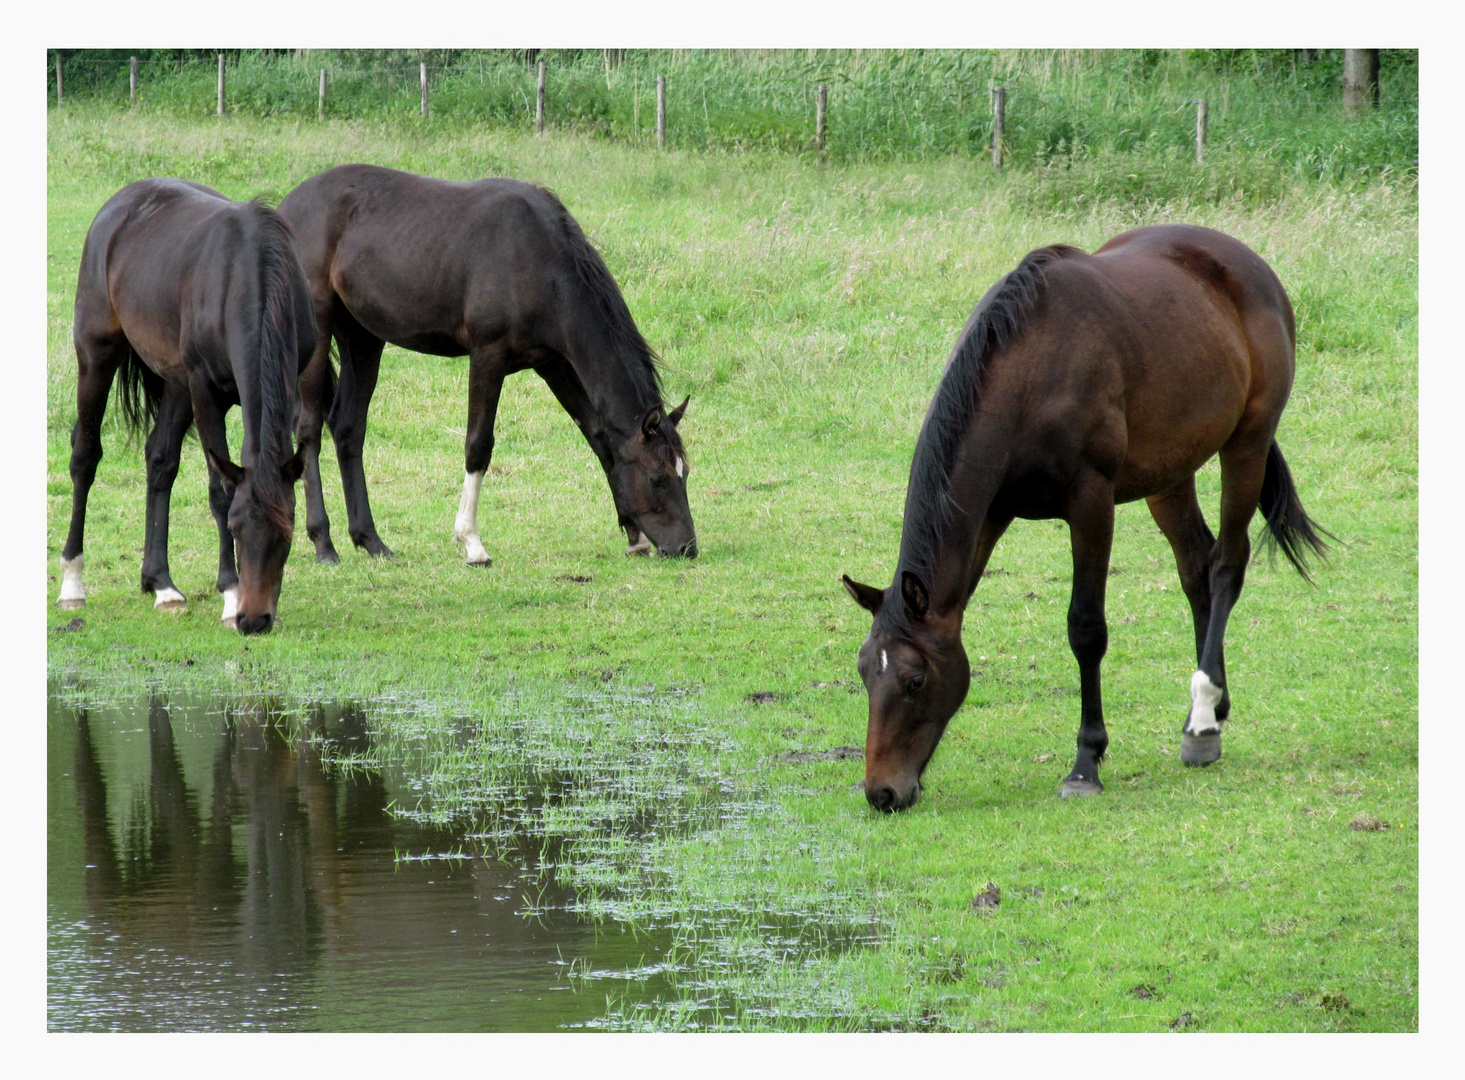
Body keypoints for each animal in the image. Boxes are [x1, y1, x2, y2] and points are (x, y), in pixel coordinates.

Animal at [58, 177, 316, 633]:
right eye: (235, 527)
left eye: (286, 533)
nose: (255, 620)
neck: (248, 275)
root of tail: (119, 205)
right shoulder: (205, 391)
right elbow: (220, 491)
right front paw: (229, 595)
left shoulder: (285, 388)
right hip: (97, 354)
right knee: (85, 457)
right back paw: (72, 584)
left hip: (175, 382)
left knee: (159, 460)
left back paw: (161, 584)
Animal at [276, 164, 700, 568]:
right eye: (658, 477)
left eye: (685, 473)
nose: (686, 547)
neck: (538, 259)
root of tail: (288, 206)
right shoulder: (487, 357)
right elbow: (478, 445)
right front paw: (472, 544)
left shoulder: (555, 364)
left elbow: (598, 438)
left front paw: (635, 538)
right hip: (320, 327)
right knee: (310, 429)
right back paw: (323, 543)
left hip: (362, 337)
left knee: (348, 427)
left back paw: (372, 541)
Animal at [837, 222, 1330, 808]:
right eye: (865, 673)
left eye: (915, 681)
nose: (882, 792)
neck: (1029, 371)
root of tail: (1249, 264)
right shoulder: (991, 513)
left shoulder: (1091, 501)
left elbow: (1086, 629)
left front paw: (1085, 761)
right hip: (1170, 474)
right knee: (1196, 570)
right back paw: (1209, 708)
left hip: (1246, 445)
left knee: (1226, 564)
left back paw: (1203, 721)